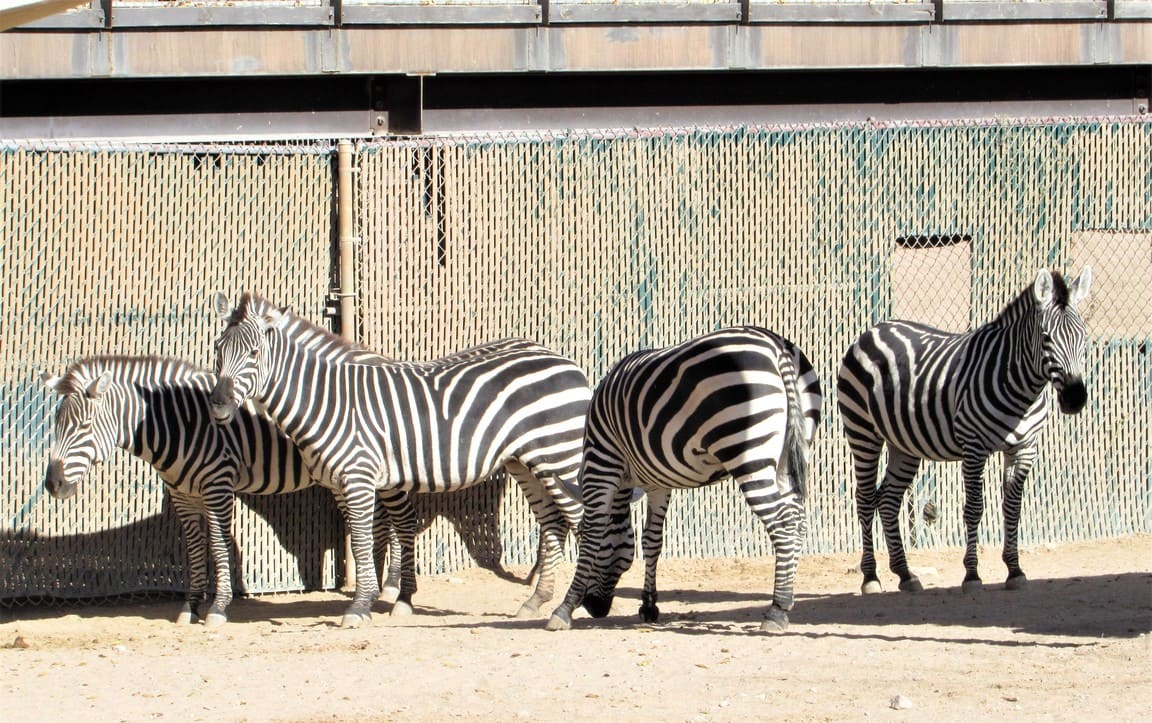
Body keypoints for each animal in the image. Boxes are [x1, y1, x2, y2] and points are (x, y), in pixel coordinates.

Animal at [208, 292, 590, 628]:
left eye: (254, 353)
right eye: (217, 350)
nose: (218, 406)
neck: (327, 399)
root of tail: (562, 360)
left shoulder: (360, 477)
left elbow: (366, 539)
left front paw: (363, 605)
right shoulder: (349, 482)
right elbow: (378, 534)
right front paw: (389, 596)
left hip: (561, 455)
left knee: (580, 520)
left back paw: (570, 607)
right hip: (526, 462)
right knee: (553, 523)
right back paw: (536, 600)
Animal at [545, 326, 822, 632]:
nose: (595, 609)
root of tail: (776, 346)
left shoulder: (602, 460)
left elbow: (595, 534)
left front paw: (564, 608)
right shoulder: (657, 482)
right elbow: (652, 540)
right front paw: (648, 606)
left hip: (749, 454)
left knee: (784, 526)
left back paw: (777, 609)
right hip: (789, 454)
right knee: (798, 521)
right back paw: (787, 600)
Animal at [836, 267, 1092, 595]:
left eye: (1084, 337)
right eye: (1046, 338)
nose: (1075, 398)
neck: (1023, 389)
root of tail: (875, 329)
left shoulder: (1024, 449)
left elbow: (1012, 508)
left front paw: (1015, 570)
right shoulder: (974, 447)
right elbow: (974, 508)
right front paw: (972, 575)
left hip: (904, 444)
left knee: (889, 500)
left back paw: (905, 574)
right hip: (862, 431)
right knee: (866, 499)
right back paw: (871, 577)